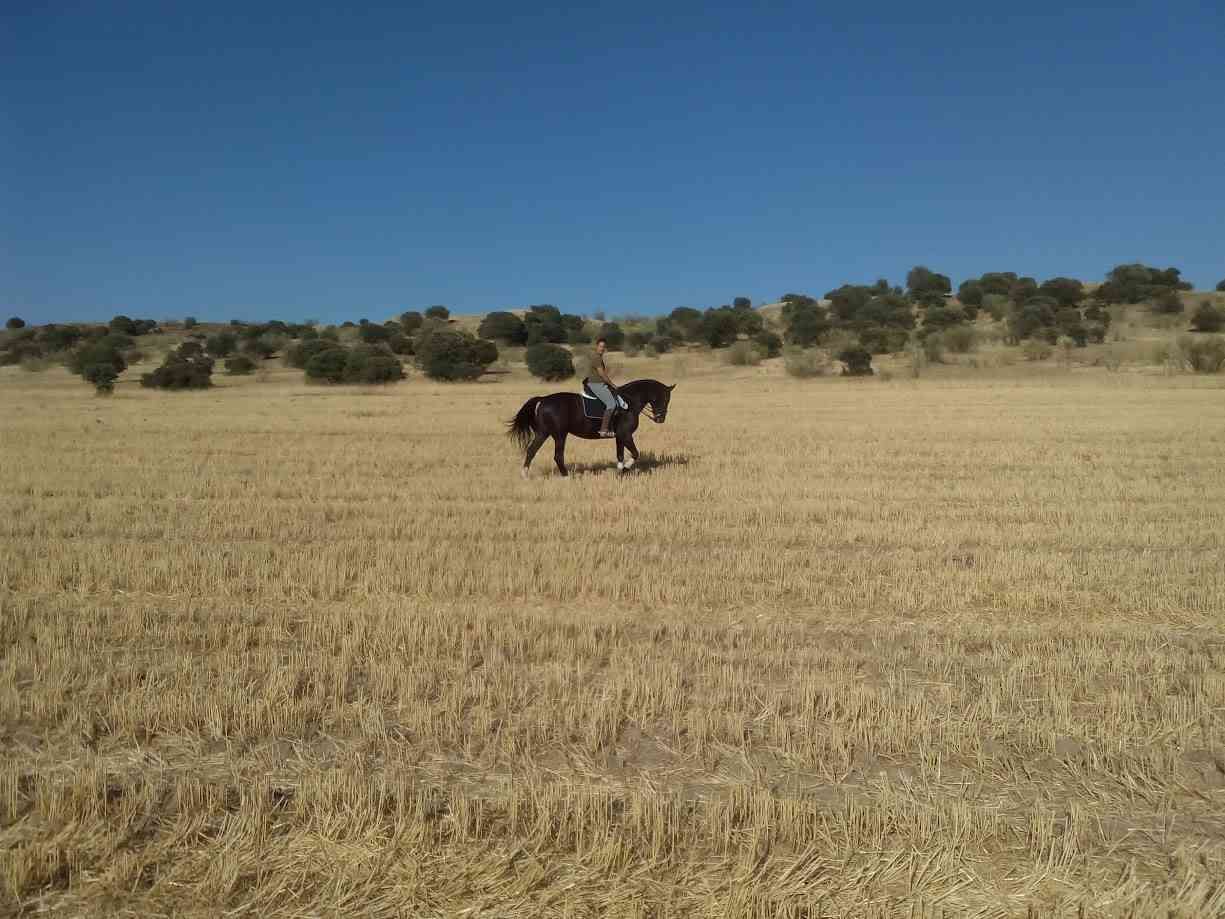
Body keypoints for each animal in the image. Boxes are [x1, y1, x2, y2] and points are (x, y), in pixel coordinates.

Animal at [506, 378, 676, 478]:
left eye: (668, 399)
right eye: (663, 398)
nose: (660, 419)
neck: (629, 402)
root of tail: (543, 400)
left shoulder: (620, 436)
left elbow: (620, 454)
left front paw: (620, 471)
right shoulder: (626, 434)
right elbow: (635, 453)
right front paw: (626, 469)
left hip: (544, 433)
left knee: (531, 450)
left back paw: (525, 475)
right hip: (559, 434)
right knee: (557, 456)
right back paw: (566, 476)